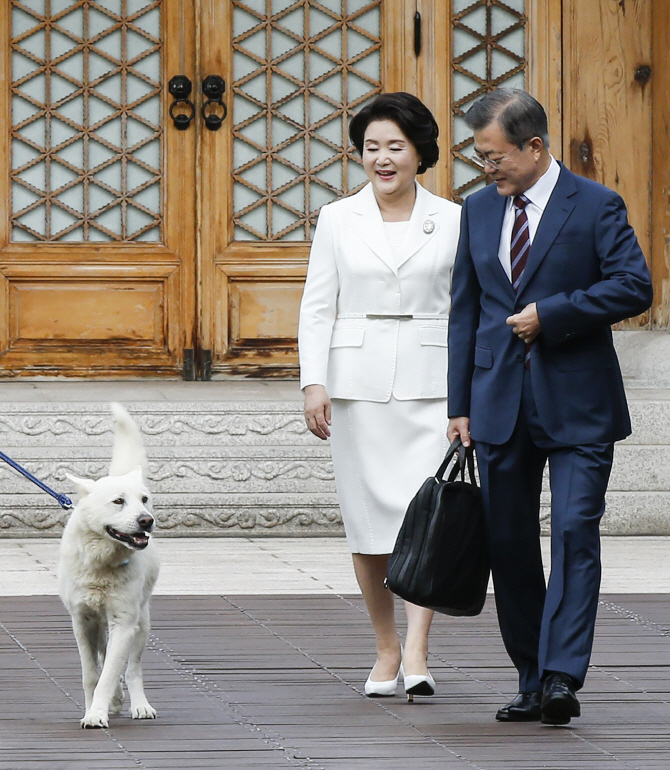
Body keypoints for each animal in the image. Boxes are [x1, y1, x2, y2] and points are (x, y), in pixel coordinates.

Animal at [57, 402, 160, 728]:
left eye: (144, 499)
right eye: (118, 501)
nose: (147, 521)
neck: (101, 564)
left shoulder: (124, 622)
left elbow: (111, 672)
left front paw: (97, 714)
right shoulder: (82, 621)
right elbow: (92, 675)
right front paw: (93, 708)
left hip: (141, 623)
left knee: (133, 668)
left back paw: (140, 706)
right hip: (102, 623)